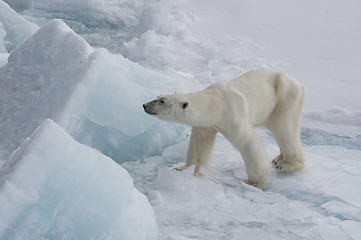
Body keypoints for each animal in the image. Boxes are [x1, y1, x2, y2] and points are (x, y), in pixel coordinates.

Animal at [143, 68, 304, 189]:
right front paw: (183, 168)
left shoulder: (233, 115)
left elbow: (249, 143)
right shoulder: (207, 124)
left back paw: (288, 164)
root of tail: (298, 83)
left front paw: (255, 183)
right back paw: (278, 159)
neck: (217, 104)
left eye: (162, 101)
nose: (144, 105)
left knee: (284, 128)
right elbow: (199, 143)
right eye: (157, 96)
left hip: (284, 99)